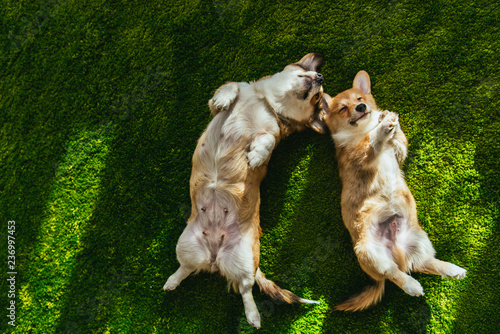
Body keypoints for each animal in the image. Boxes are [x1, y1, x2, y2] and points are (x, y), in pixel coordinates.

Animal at [165, 53, 328, 328]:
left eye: (317, 97)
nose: (320, 76)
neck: (269, 102)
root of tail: (214, 257)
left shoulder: (272, 132)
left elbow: (268, 140)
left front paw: (256, 156)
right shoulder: (222, 101)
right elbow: (231, 86)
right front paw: (224, 99)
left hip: (244, 258)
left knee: (245, 288)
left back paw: (253, 315)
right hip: (186, 244)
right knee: (186, 268)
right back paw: (171, 281)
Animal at [322, 71, 466, 314]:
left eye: (360, 99)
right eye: (343, 108)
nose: (361, 107)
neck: (361, 131)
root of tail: (396, 252)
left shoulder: (399, 152)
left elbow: (399, 140)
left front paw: (388, 118)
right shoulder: (361, 156)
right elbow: (373, 142)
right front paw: (382, 127)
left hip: (420, 240)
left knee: (423, 264)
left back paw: (451, 269)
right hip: (371, 254)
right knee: (394, 274)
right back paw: (412, 286)